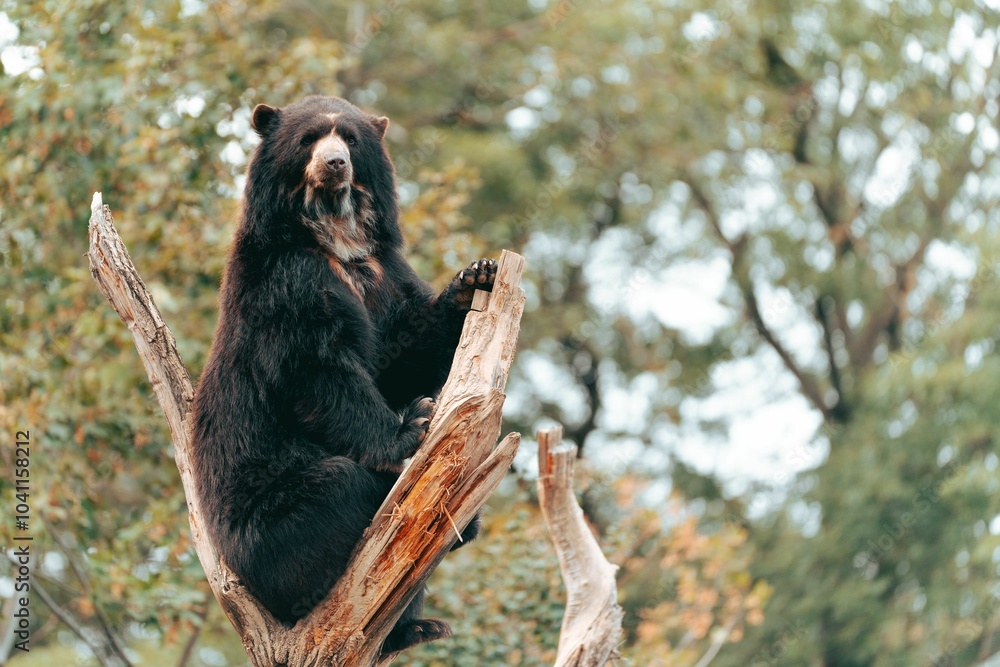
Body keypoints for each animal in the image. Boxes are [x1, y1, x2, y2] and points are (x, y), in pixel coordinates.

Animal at [190, 94, 496, 655]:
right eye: (310, 138)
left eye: (351, 140)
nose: (335, 164)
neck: (336, 239)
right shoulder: (285, 282)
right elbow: (318, 368)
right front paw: (411, 425)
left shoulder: (383, 274)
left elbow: (404, 352)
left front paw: (473, 279)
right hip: (268, 525)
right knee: (340, 487)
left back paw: (418, 626)